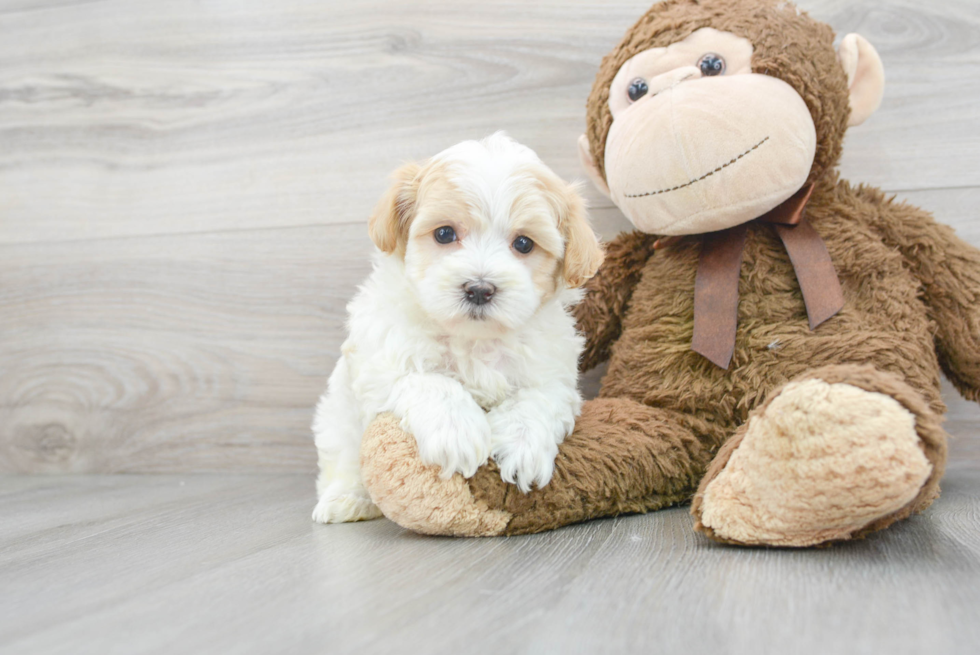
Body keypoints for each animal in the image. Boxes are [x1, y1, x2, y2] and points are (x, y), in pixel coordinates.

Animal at [314, 133, 604, 524]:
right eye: (444, 233)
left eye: (524, 243)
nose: (479, 288)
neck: (474, 339)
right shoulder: (381, 361)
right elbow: (427, 380)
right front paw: (457, 432)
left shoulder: (553, 374)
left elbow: (538, 398)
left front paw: (522, 445)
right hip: (337, 419)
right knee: (342, 457)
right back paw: (346, 499)